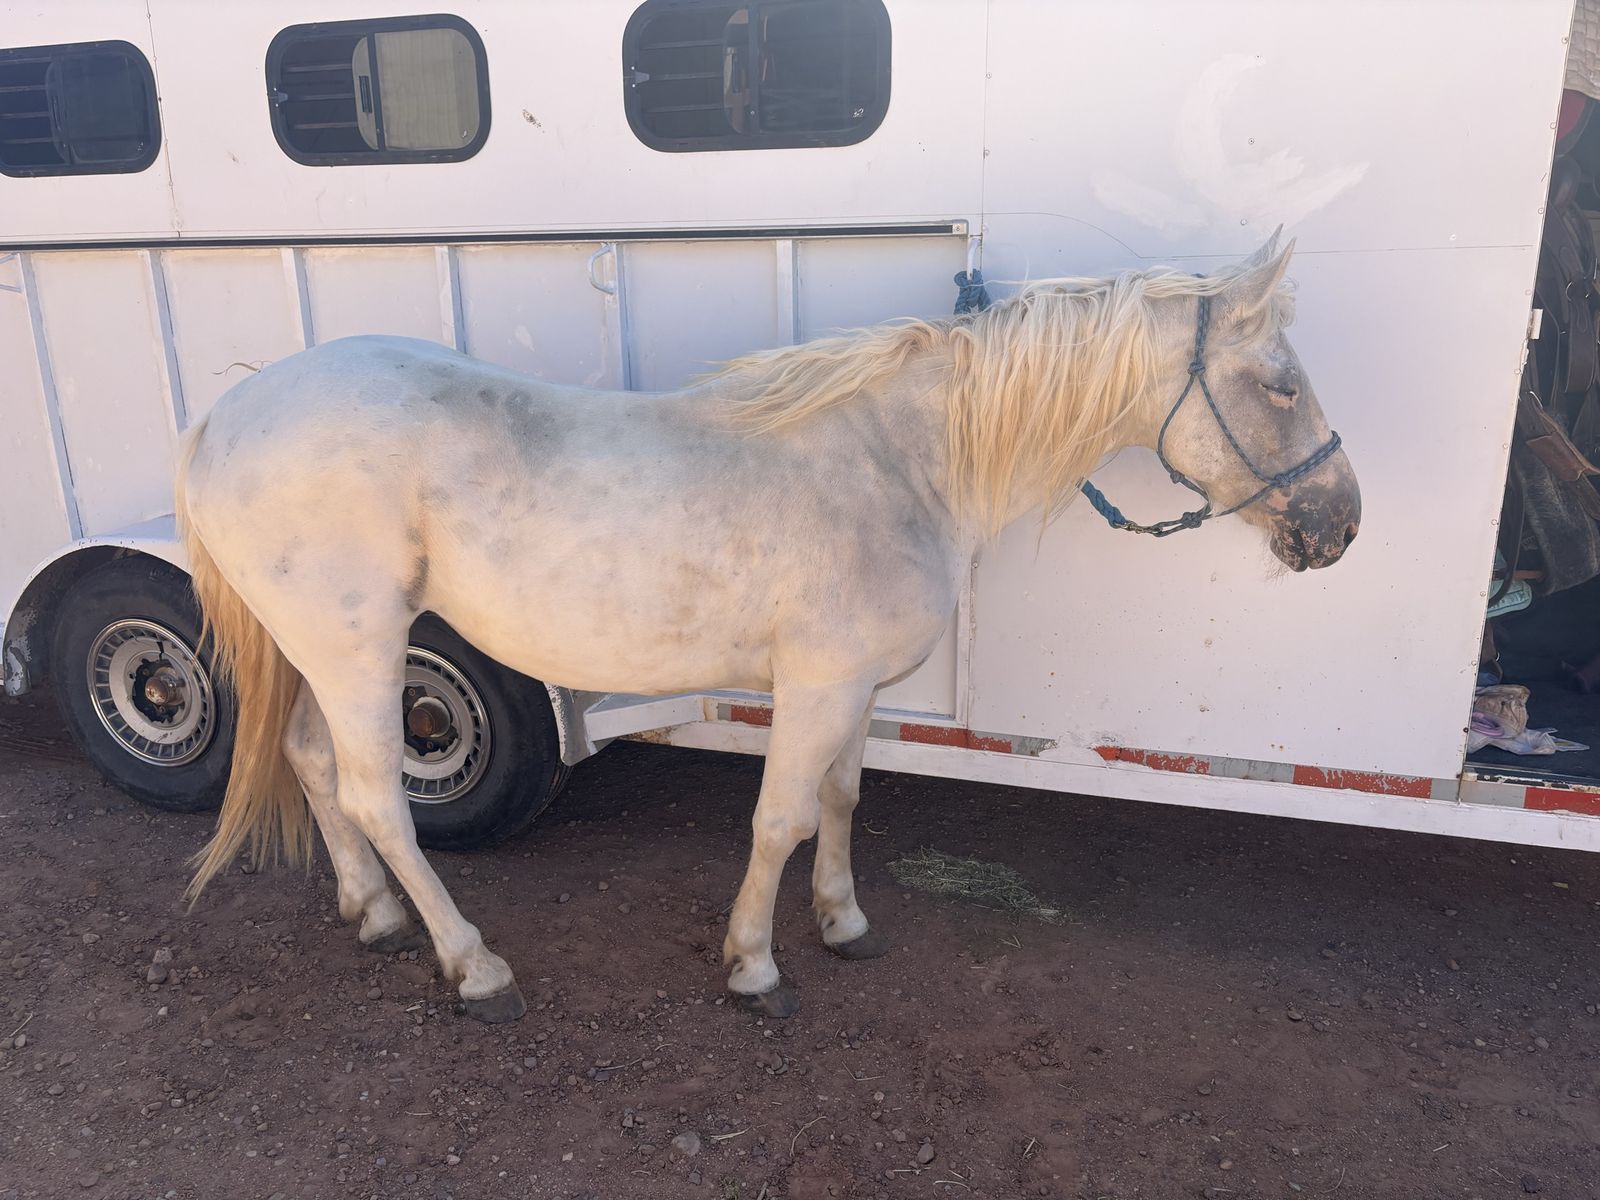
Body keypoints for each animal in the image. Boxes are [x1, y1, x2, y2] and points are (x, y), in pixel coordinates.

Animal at [175, 233, 1359, 1022]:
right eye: (1278, 385)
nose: (1338, 525)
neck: (897, 461)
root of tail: (227, 415)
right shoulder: (820, 683)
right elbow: (778, 820)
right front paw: (753, 966)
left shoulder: (858, 689)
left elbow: (841, 801)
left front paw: (843, 925)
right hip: (359, 647)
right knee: (378, 795)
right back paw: (474, 967)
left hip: (322, 654)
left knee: (312, 761)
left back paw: (372, 916)